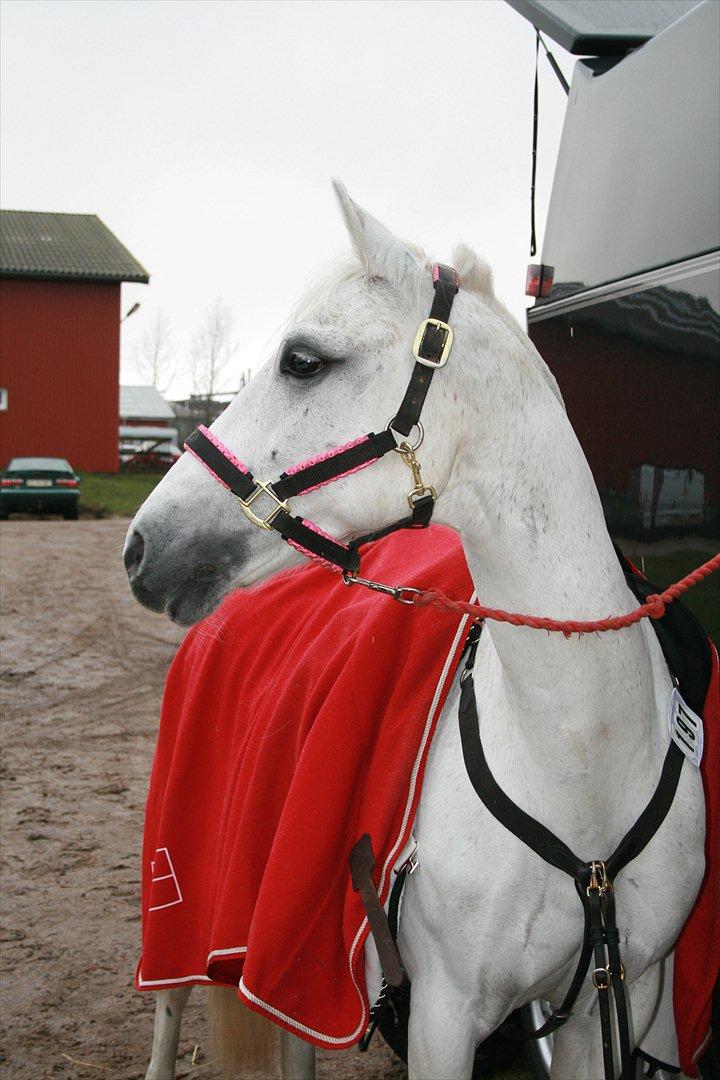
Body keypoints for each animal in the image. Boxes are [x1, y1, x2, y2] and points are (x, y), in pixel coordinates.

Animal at [125, 183, 705, 1079]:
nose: (140, 547)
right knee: (169, 1007)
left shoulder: (623, 998)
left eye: (303, 360)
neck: (581, 760)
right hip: (183, 904)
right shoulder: (444, 1017)